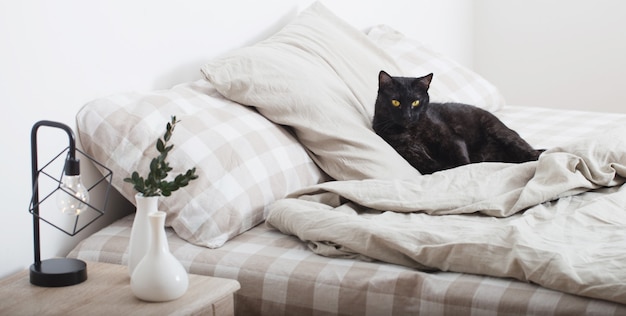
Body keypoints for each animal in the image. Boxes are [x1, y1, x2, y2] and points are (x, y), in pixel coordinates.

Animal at [370, 71, 540, 174]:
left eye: (416, 102)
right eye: (395, 102)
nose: (407, 115)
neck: (413, 132)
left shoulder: (452, 139)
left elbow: (461, 161)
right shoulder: (412, 154)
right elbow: (435, 167)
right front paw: (447, 167)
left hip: (501, 133)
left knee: (531, 153)